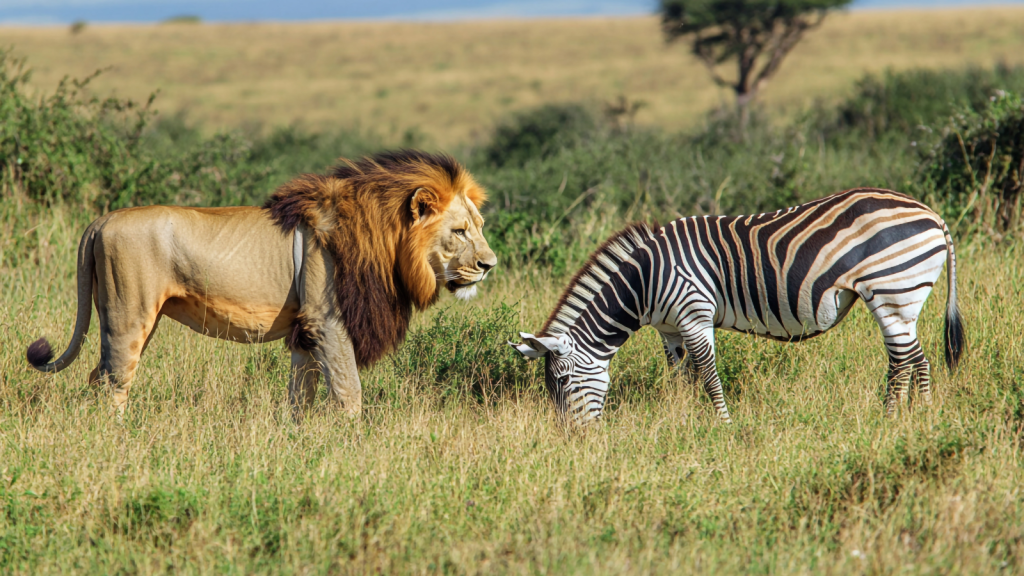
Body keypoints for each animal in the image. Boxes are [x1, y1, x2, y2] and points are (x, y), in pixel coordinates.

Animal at [25, 150, 497, 414]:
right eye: (459, 232)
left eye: (480, 226)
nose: (489, 264)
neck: (388, 241)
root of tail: (101, 221)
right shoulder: (328, 320)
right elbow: (349, 392)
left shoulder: (306, 331)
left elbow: (301, 396)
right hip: (129, 314)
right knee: (113, 380)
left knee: (99, 376)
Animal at [512, 187, 966, 422]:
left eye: (563, 384)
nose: (574, 440)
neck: (644, 282)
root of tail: (931, 213)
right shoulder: (670, 329)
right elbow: (681, 377)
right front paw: (683, 419)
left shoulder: (694, 316)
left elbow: (709, 377)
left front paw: (722, 426)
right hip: (904, 299)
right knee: (918, 358)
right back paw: (922, 414)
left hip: (891, 291)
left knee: (901, 361)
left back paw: (888, 419)